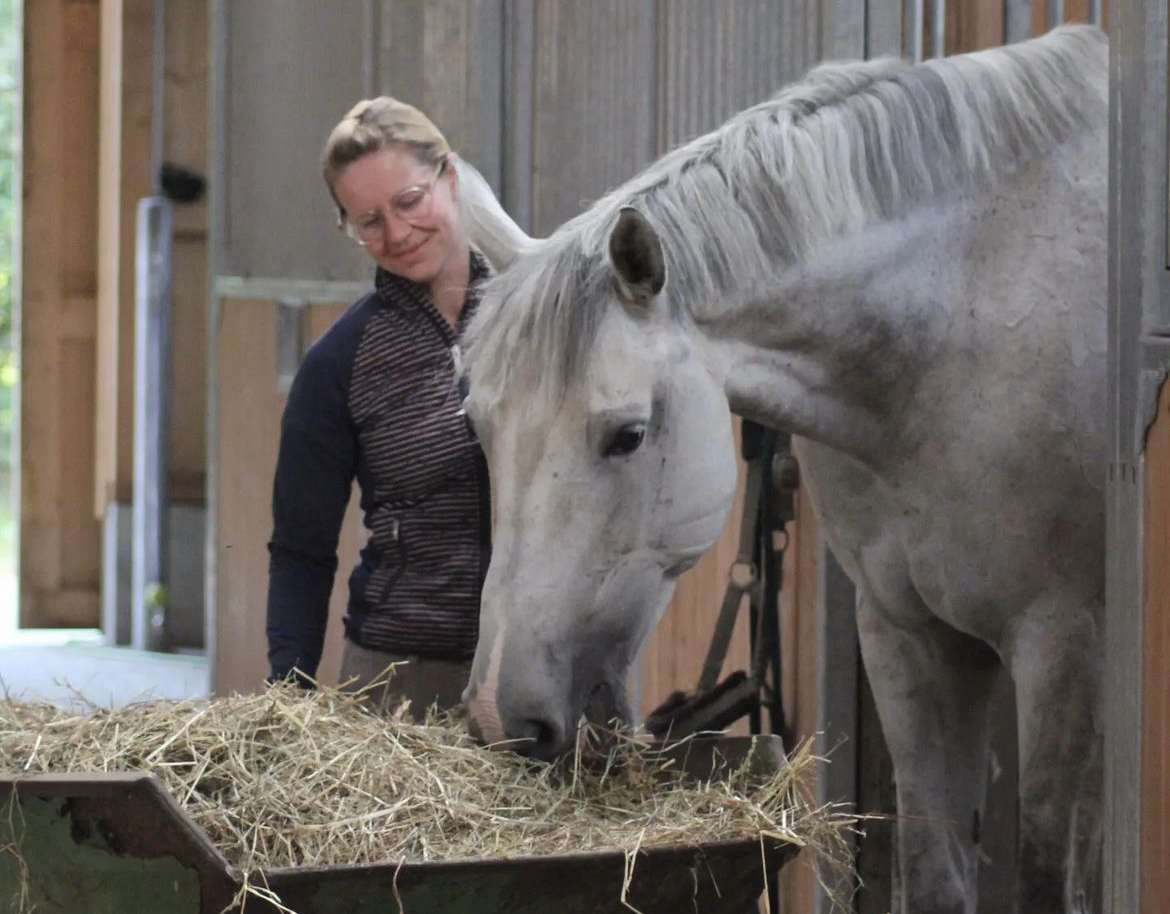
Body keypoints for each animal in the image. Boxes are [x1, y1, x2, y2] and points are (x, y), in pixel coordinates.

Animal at [453, 25, 1104, 908]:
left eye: (626, 435)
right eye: (480, 427)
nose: (497, 715)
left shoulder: (1064, 643)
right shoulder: (905, 636)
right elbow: (934, 871)